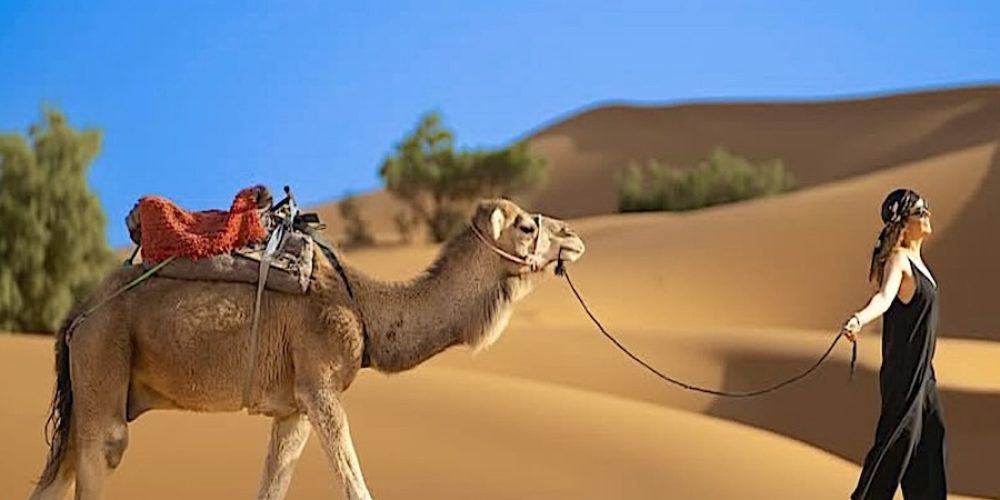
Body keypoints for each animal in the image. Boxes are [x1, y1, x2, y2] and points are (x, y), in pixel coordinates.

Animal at [29, 198, 585, 500]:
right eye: (526, 226)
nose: (574, 238)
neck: (364, 308)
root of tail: (77, 315)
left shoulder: (292, 407)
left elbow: (273, 484)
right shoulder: (320, 385)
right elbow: (354, 483)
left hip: (90, 385)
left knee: (59, 470)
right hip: (104, 356)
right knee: (102, 453)